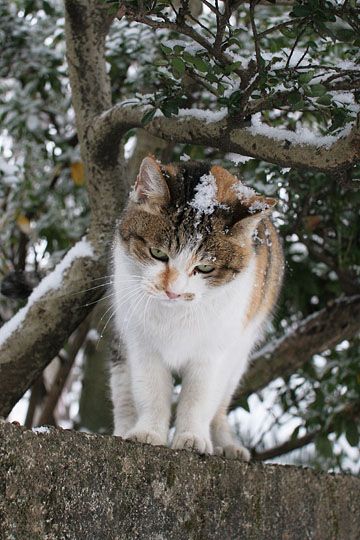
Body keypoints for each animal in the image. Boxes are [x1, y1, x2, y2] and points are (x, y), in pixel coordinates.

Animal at [109, 156, 284, 460]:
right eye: (157, 253)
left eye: (204, 268)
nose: (173, 291)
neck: (174, 314)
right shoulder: (141, 343)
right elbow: (150, 390)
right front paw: (148, 433)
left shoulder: (213, 353)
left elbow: (198, 398)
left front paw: (191, 437)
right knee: (124, 393)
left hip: (240, 350)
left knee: (220, 403)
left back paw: (227, 445)